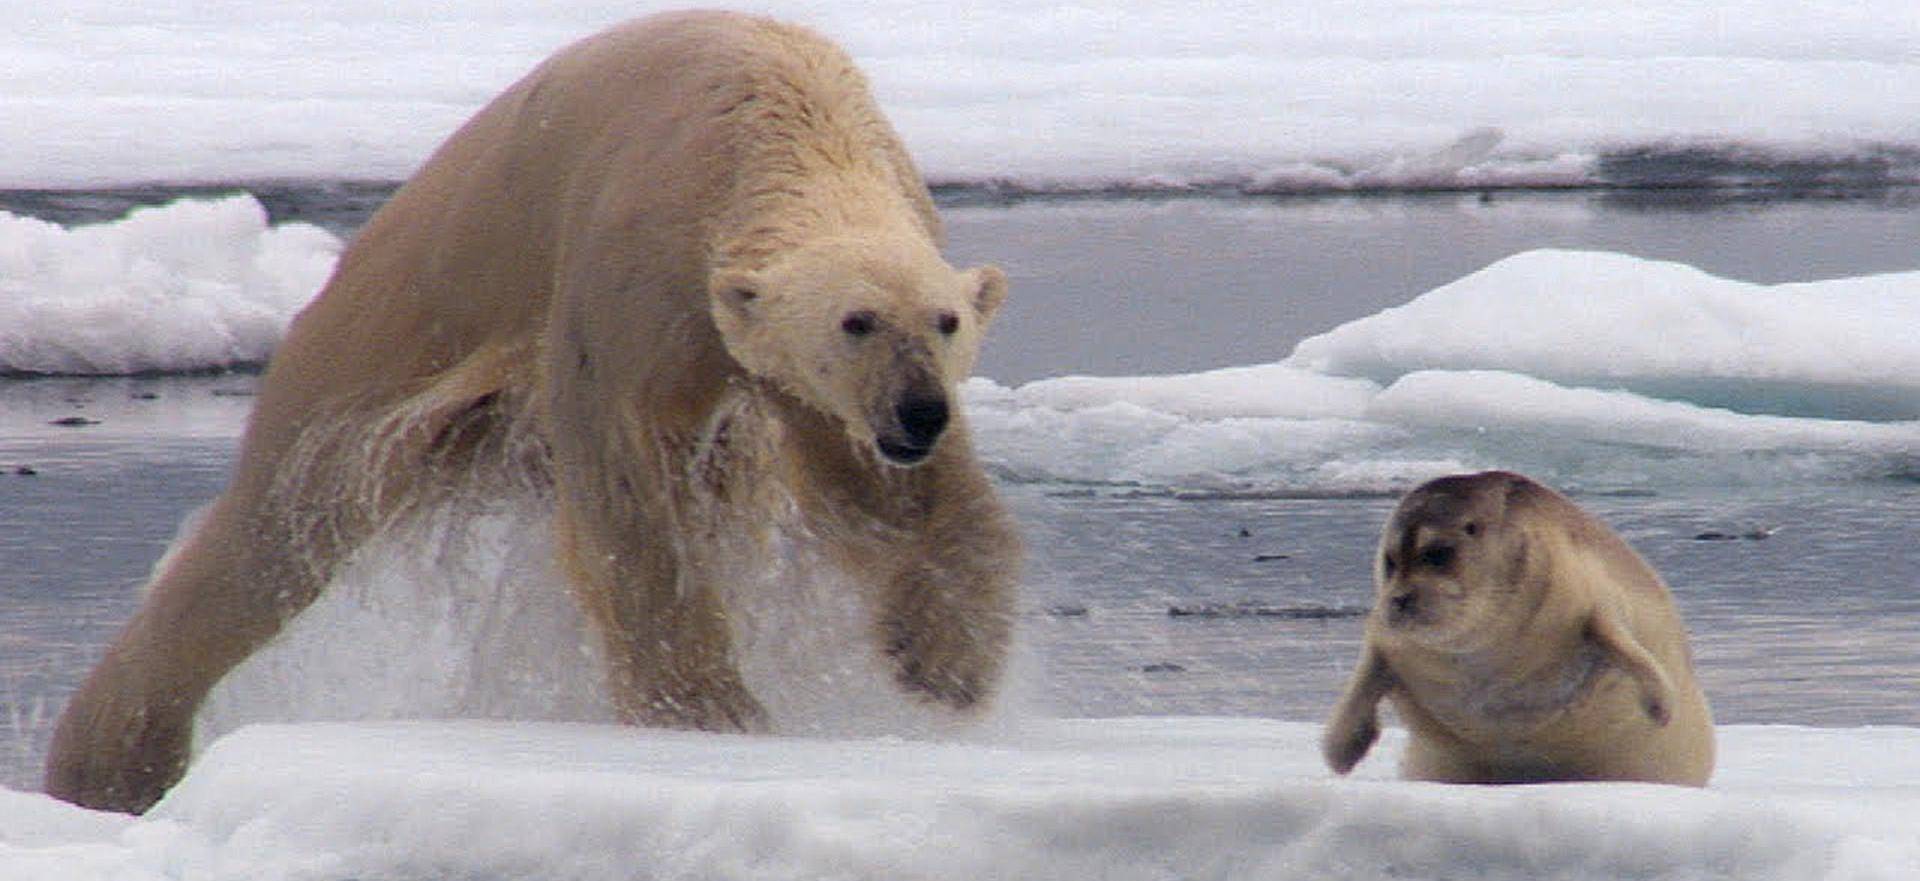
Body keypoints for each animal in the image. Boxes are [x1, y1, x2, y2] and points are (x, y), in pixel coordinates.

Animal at [45, 10, 1021, 814]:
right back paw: (110, 761)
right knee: (278, 529)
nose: (920, 411)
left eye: (946, 321)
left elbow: (888, 496)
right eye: (856, 321)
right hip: (394, 327)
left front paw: (946, 662)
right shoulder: (632, 265)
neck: (775, 116)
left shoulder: (796, 367)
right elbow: (632, 493)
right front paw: (712, 714)